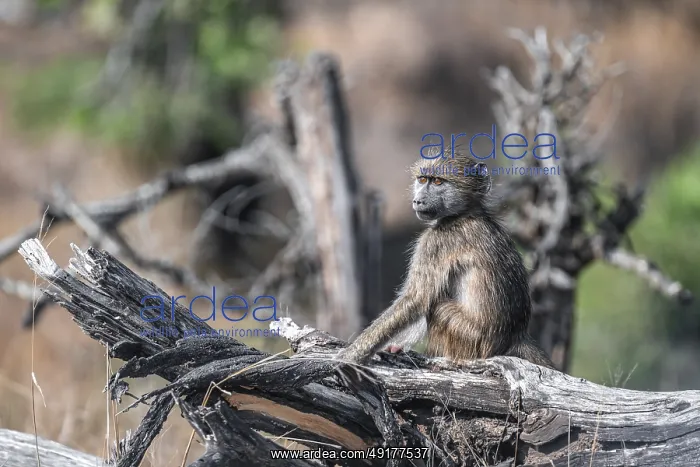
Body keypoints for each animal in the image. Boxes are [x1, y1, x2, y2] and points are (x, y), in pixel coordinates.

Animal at [335, 148, 555, 369]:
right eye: (423, 179)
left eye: (438, 182)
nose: (418, 201)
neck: (463, 214)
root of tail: (514, 339)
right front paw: (396, 345)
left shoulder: (436, 243)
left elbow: (417, 298)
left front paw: (349, 356)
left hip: (470, 340)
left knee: (439, 308)